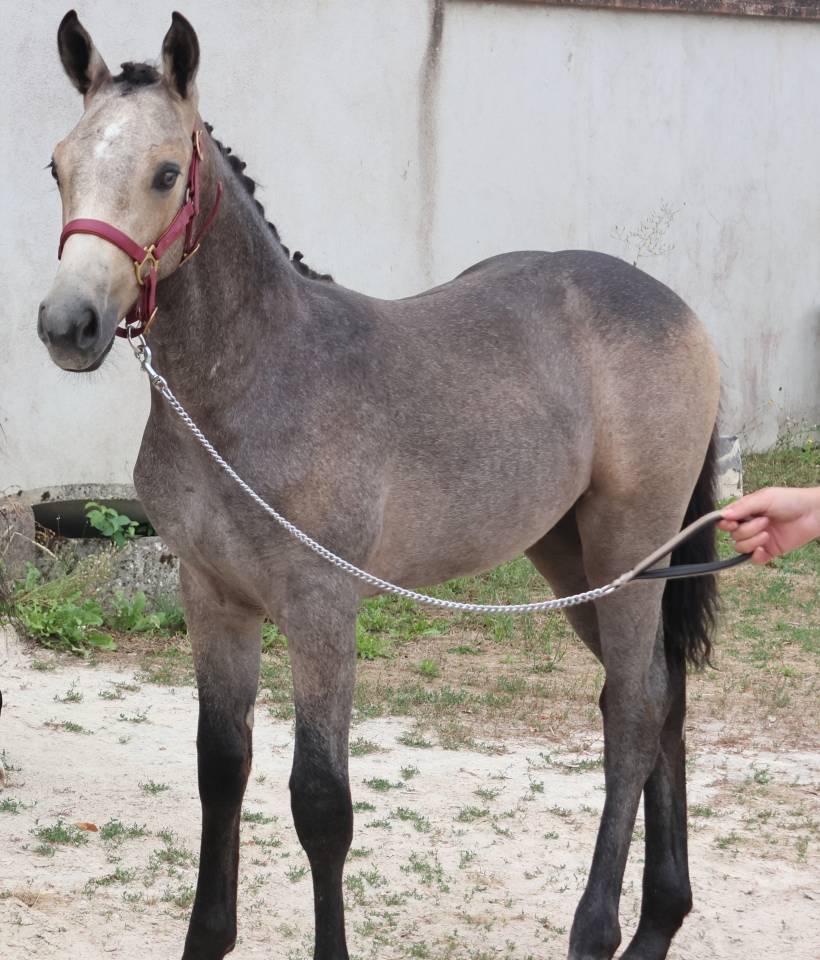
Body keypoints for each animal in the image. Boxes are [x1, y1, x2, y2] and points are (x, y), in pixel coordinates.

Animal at [38, 12, 721, 960]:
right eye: (57, 165)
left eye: (166, 172)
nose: (68, 325)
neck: (252, 378)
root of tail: (675, 306)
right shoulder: (212, 595)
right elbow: (221, 766)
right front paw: (207, 936)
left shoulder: (322, 605)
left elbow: (321, 803)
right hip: (572, 556)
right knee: (667, 698)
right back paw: (660, 920)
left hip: (632, 547)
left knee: (632, 711)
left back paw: (598, 930)